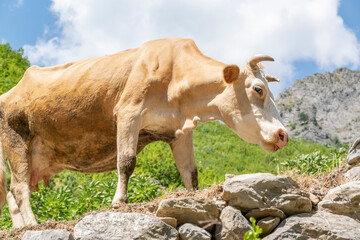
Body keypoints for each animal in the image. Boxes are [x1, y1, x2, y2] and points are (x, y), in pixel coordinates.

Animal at [0, 38, 288, 227]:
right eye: (258, 89)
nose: (283, 135)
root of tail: (9, 92)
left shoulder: (180, 131)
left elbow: (190, 173)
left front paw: (193, 200)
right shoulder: (129, 112)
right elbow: (126, 161)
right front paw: (119, 202)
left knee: (12, 195)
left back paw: (21, 227)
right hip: (15, 137)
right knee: (19, 187)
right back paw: (32, 224)